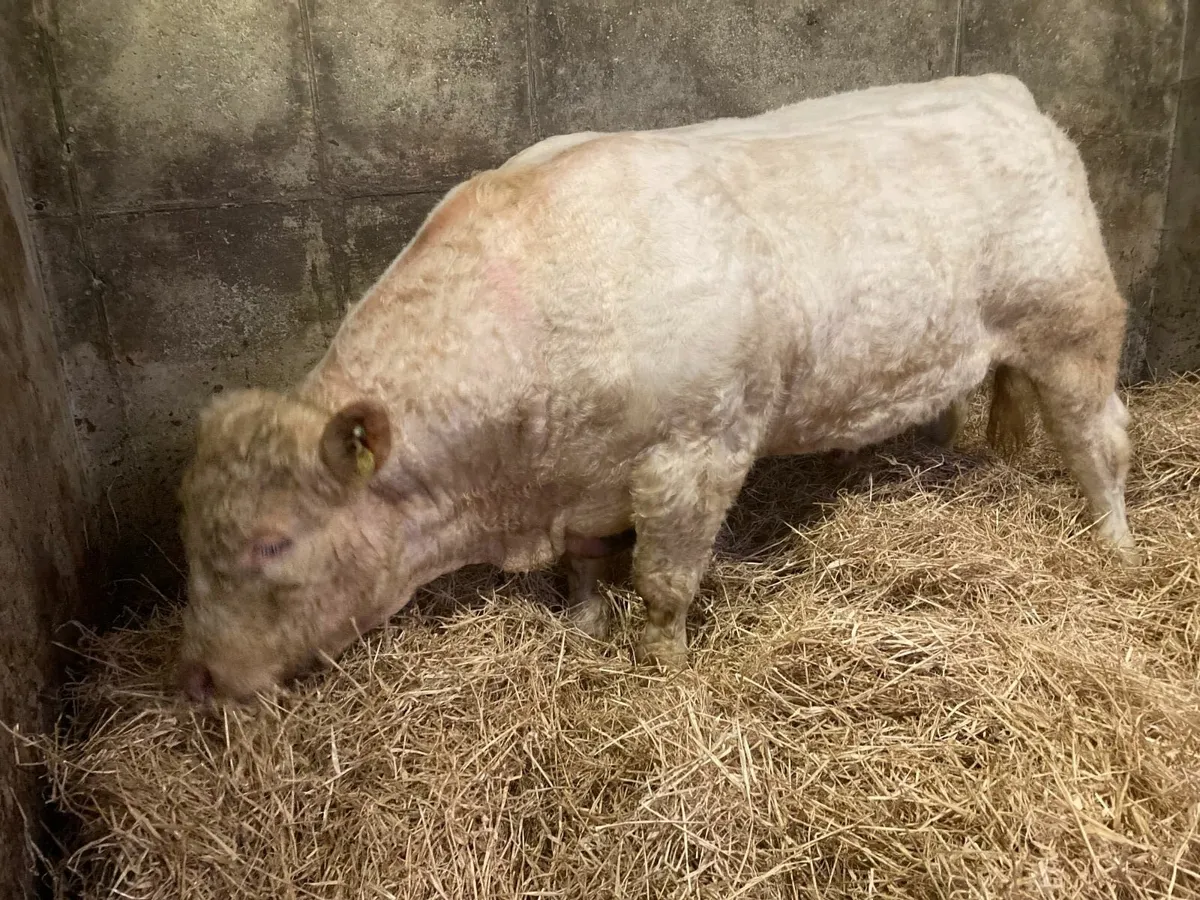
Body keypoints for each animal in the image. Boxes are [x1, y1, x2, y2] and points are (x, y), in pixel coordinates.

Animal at [176, 73, 1139, 703]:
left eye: (272, 544)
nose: (202, 675)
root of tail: (1011, 95)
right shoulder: (583, 477)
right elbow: (587, 566)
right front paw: (583, 629)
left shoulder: (697, 453)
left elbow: (664, 582)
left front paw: (664, 674)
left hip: (1076, 327)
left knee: (1102, 440)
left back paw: (1116, 548)